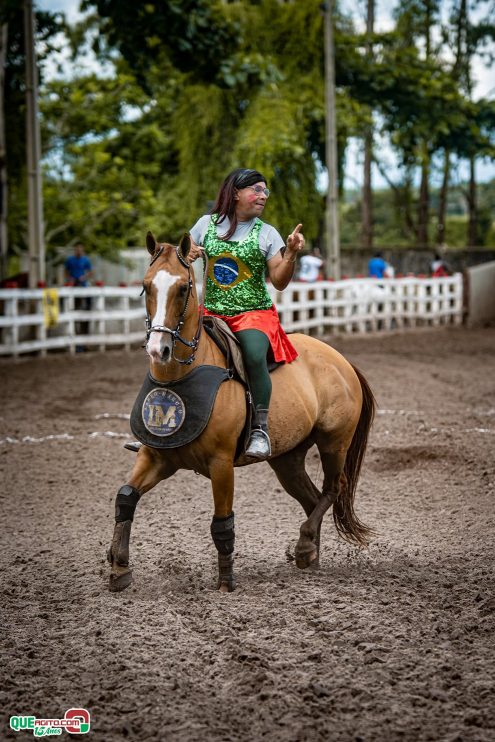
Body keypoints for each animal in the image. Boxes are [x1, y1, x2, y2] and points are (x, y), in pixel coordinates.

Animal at [106, 235, 374, 596]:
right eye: (146, 286)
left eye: (183, 287)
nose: (158, 349)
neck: (182, 376)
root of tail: (341, 361)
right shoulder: (156, 457)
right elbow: (126, 497)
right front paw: (119, 566)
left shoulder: (220, 465)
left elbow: (222, 523)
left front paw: (225, 582)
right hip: (287, 459)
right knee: (311, 498)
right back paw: (310, 555)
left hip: (334, 443)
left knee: (334, 488)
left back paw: (305, 545)